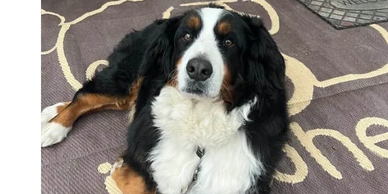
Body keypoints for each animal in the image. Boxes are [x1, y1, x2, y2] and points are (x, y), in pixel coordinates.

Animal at [38, 4, 288, 194]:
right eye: (186, 36)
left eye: (229, 42)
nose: (198, 69)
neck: (199, 124)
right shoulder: (137, 164)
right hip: (128, 76)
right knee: (85, 95)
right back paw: (53, 127)